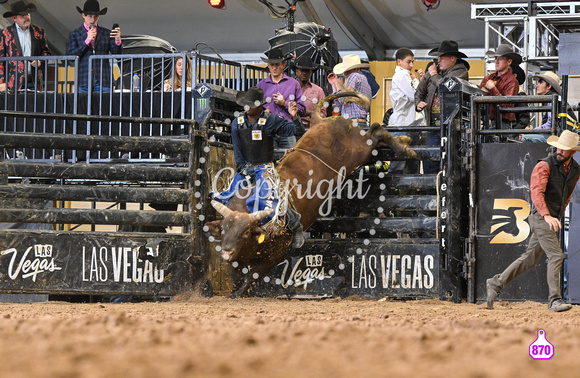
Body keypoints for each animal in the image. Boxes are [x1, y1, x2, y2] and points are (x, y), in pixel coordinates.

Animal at [206, 91, 414, 298]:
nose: (226, 252)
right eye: (223, 229)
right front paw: (234, 292)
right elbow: (237, 277)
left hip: (360, 149)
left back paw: (406, 149)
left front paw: (241, 293)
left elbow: (252, 276)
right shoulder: (238, 259)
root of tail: (321, 121)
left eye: (245, 232)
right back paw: (406, 140)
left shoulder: (278, 253)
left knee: (376, 130)